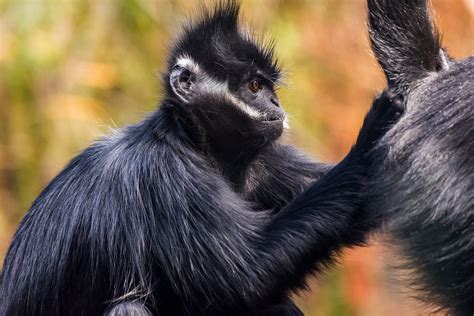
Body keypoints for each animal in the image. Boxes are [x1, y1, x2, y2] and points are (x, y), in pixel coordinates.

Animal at [1, 3, 406, 316]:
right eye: (254, 86)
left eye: (269, 87)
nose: (276, 104)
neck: (192, 140)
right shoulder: (165, 173)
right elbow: (249, 275)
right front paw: (372, 137)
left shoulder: (263, 162)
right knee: (129, 306)